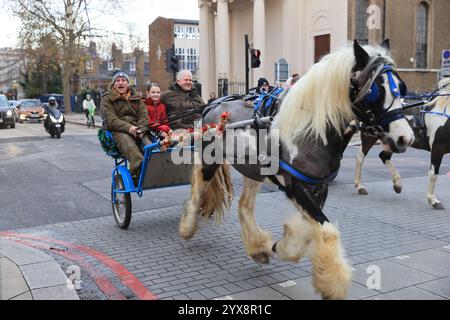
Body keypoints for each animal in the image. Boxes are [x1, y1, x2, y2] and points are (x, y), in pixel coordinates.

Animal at [178, 40, 414, 300]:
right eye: (374, 91)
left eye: (401, 88)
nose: (405, 138)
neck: (311, 129)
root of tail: (214, 104)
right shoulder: (296, 185)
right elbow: (327, 230)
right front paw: (331, 284)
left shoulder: (318, 185)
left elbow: (310, 228)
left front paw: (282, 246)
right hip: (210, 161)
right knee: (199, 191)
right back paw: (188, 227)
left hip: (254, 169)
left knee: (245, 205)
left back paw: (257, 246)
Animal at [356, 78, 450, 210]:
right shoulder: (437, 148)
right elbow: (433, 174)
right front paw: (433, 200)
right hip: (369, 136)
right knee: (360, 157)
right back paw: (360, 186)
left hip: (394, 141)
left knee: (383, 156)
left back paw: (398, 184)